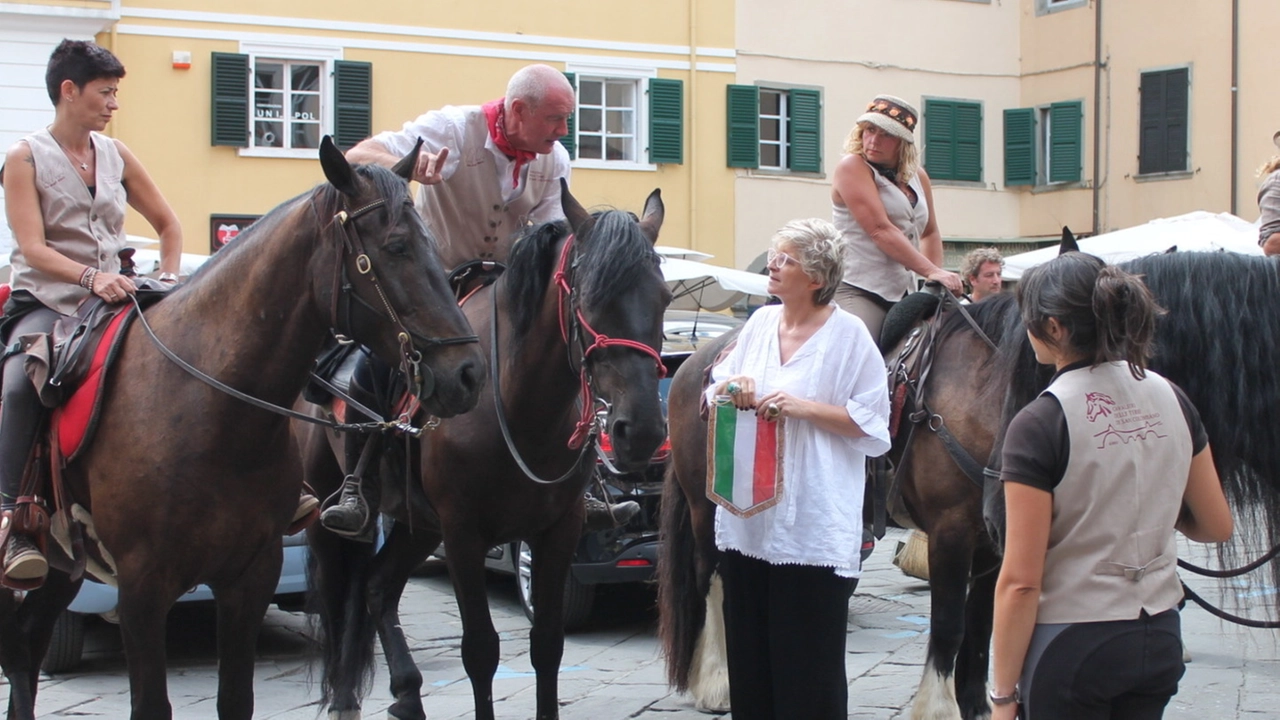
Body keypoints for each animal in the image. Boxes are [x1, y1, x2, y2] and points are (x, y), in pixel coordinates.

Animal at [0, 139, 483, 717]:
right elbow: (151, 703)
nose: (469, 373)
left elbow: (236, 698)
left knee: (26, 643)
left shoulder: (250, 576)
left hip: (63, 564)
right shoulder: (141, 589)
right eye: (397, 247)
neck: (207, 412)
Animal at [300, 184, 675, 717]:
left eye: (664, 297)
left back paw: (407, 692)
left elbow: (548, 644)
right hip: (332, 513)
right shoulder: (462, 533)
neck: (519, 407)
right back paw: (348, 698)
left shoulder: (559, 529)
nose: (641, 431)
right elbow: (480, 649)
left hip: (418, 525)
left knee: (376, 586)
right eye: (589, 297)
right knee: (338, 598)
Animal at [660, 248, 1280, 717]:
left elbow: (984, 637)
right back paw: (716, 681)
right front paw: (936, 709)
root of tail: (697, 360)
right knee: (713, 578)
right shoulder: (954, 532)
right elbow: (951, 629)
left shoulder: (996, 544)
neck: (987, 391)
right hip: (707, 507)